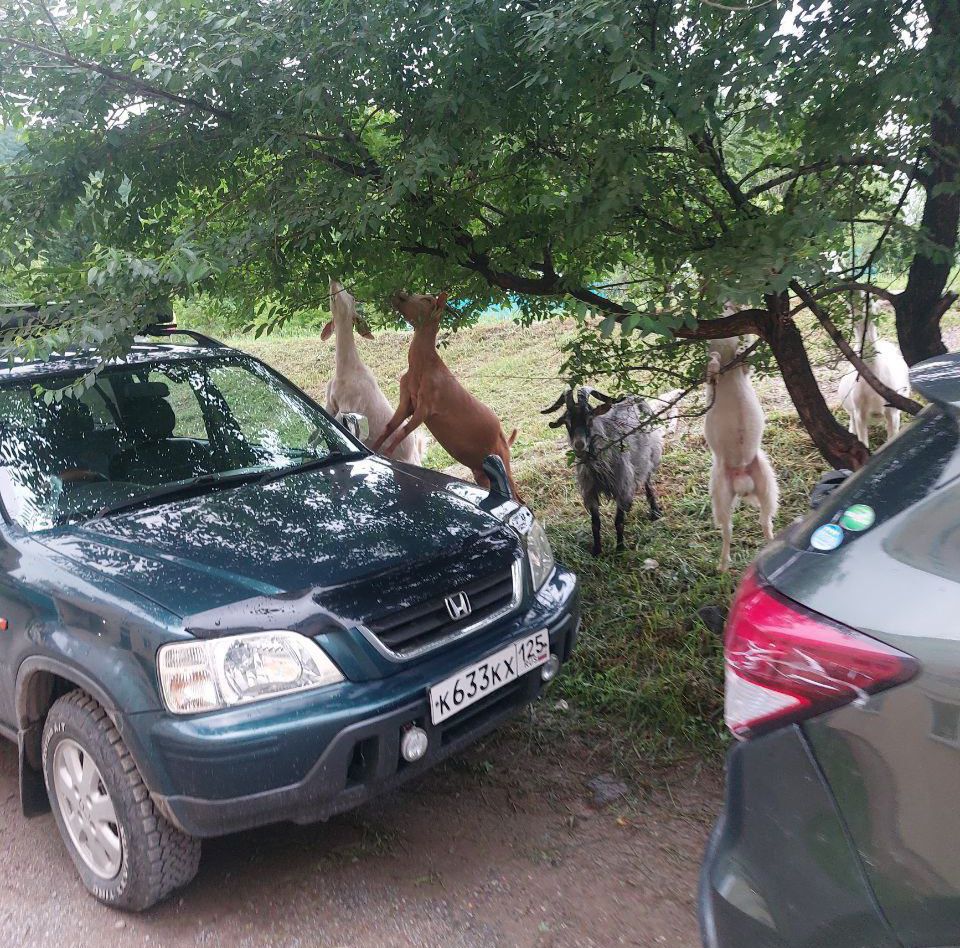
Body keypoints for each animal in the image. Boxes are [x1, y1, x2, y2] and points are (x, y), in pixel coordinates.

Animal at [322, 276, 424, 464]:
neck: (346, 371)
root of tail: (416, 452)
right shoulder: (330, 403)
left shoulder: (350, 407)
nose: (335, 280)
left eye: (353, 297)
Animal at [372, 290, 520, 500]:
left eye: (427, 300)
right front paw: (372, 449)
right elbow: (389, 427)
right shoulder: (406, 401)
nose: (399, 294)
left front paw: (387, 454)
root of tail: (505, 438)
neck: (421, 367)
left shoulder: (427, 406)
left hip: (503, 461)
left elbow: (404, 430)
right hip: (481, 473)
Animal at [544, 388, 664, 560]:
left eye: (590, 417)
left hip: (651, 454)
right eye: (567, 421)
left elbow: (618, 521)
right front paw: (597, 550)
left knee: (647, 480)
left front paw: (620, 549)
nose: (579, 445)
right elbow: (595, 523)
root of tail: (632, 396)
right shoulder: (590, 491)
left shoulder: (622, 486)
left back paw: (655, 511)